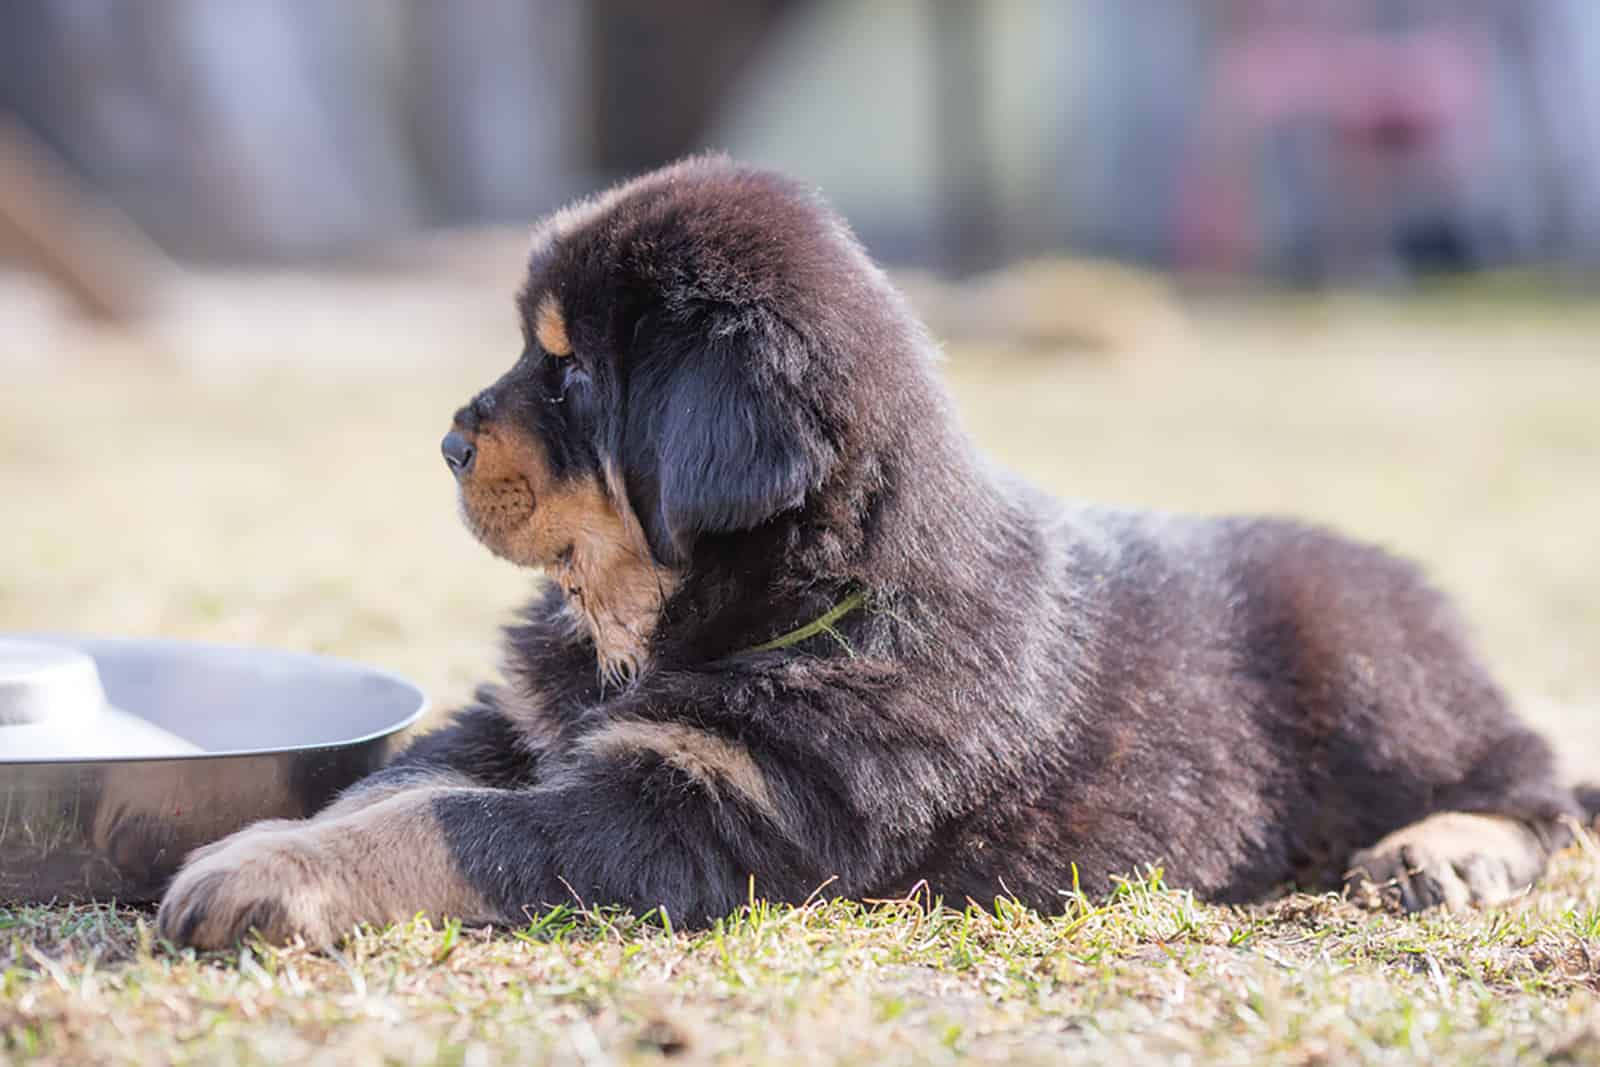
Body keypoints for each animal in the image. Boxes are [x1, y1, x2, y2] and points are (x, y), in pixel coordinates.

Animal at [159, 154, 1587, 947]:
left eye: (567, 375)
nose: (449, 443)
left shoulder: (706, 812)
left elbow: (456, 824)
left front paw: (257, 872)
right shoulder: (516, 718)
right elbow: (393, 783)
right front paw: (273, 837)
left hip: (1374, 678)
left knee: (1534, 781)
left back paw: (1442, 846)